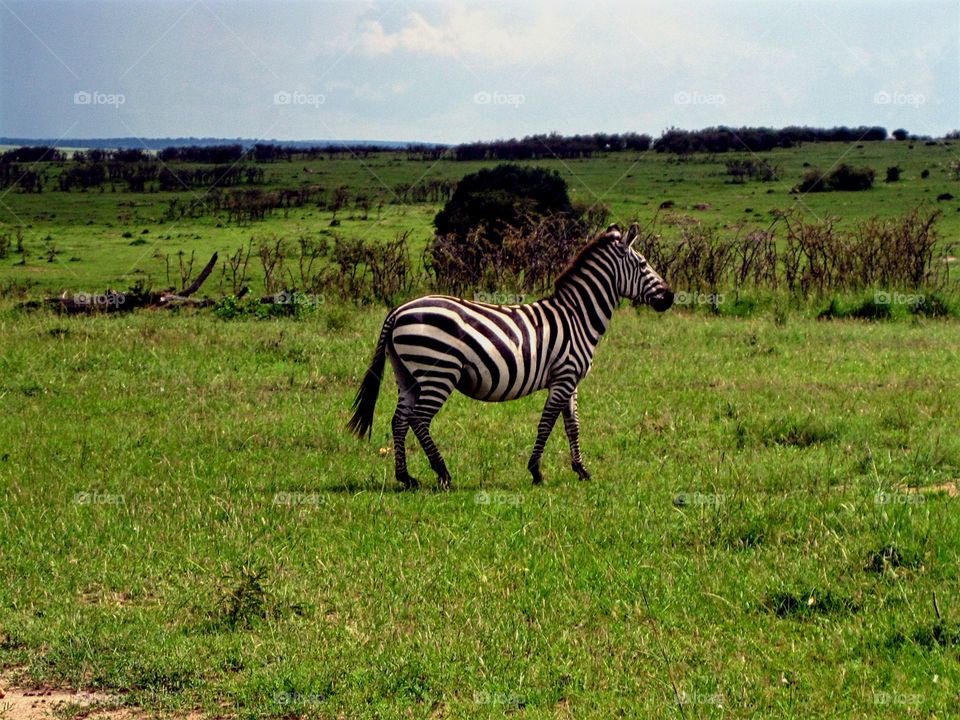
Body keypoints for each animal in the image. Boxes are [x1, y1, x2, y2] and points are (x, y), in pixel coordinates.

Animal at [346, 221, 676, 490]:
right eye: (643, 264)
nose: (671, 297)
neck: (576, 316)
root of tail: (399, 310)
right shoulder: (563, 378)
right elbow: (547, 423)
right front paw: (536, 472)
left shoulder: (570, 380)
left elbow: (573, 426)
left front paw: (581, 470)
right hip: (439, 372)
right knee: (418, 418)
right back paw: (443, 473)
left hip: (407, 374)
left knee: (399, 419)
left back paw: (406, 477)